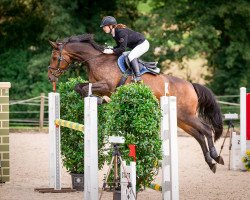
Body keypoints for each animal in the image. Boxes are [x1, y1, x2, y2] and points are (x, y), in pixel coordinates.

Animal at [47, 33, 224, 173]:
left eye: (55, 58)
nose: (50, 77)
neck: (97, 60)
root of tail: (191, 85)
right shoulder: (97, 85)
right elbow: (80, 87)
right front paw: (99, 100)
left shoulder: (107, 86)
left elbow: (85, 89)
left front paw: (99, 100)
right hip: (181, 119)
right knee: (199, 135)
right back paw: (211, 162)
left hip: (187, 115)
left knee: (207, 130)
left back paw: (216, 156)